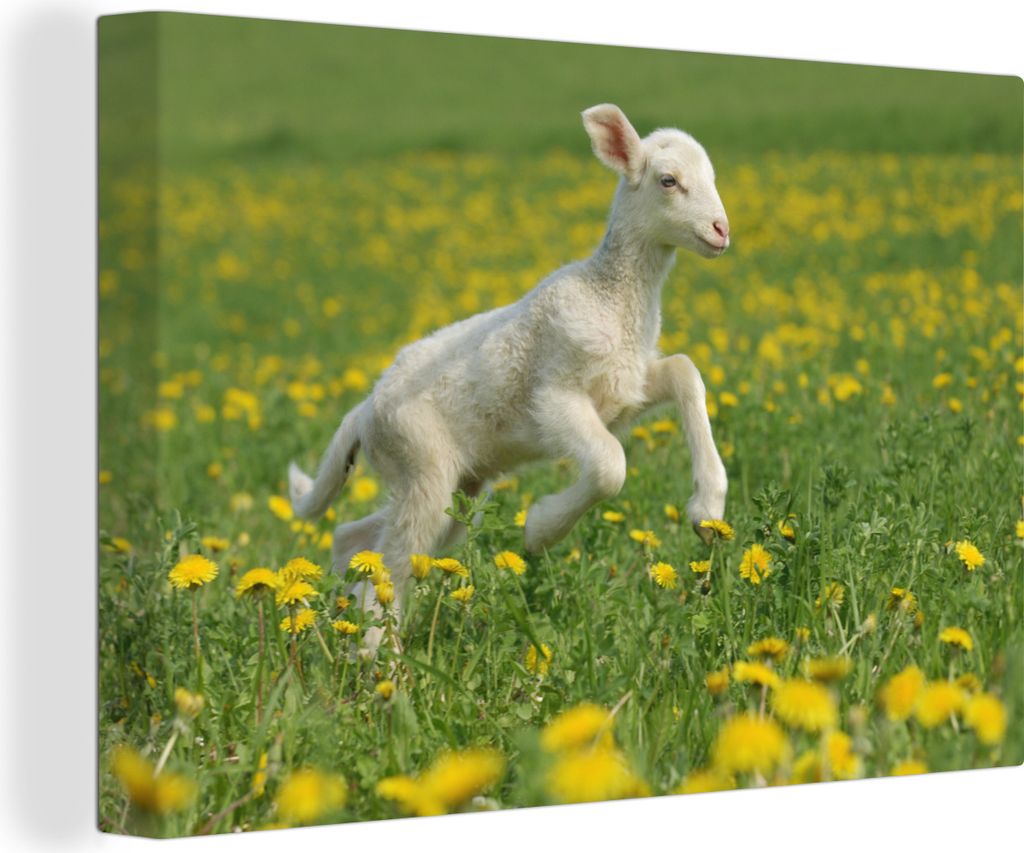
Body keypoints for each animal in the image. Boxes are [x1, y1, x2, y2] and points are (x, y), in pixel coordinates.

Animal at [288, 104, 730, 652]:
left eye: (712, 176)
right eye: (668, 181)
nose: (721, 230)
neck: (611, 296)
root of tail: (364, 410)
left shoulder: (627, 390)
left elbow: (687, 373)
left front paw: (707, 512)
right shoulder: (555, 396)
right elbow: (610, 465)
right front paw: (540, 529)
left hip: (458, 491)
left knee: (355, 538)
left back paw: (346, 630)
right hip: (422, 467)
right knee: (388, 568)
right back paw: (381, 663)